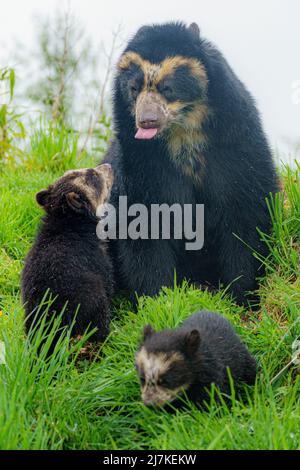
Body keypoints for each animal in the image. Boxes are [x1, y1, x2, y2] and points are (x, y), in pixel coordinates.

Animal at [105, 22, 278, 306]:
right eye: (133, 89)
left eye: (168, 88)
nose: (146, 120)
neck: (183, 134)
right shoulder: (140, 161)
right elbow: (145, 222)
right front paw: (158, 298)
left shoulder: (235, 146)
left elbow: (245, 212)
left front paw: (242, 295)